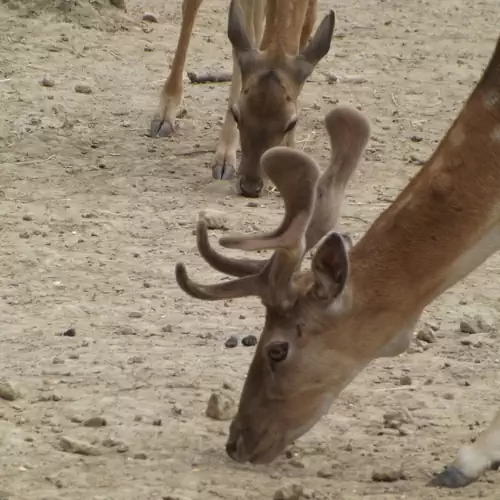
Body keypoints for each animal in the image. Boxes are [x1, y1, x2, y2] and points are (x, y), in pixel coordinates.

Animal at [148, 0, 336, 199]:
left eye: (291, 123)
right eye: (237, 114)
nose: (250, 186)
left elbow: (306, 26)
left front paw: (291, 153)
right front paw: (224, 160)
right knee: (192, 7)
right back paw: (164, 119)